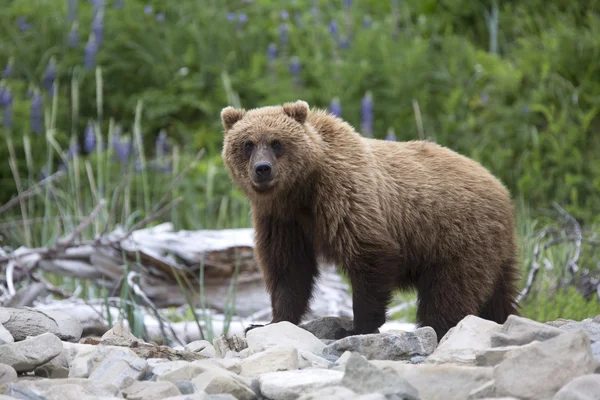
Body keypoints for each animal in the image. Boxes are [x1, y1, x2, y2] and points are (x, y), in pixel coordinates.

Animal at [220, 98, 520, 340]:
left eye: (276, 142)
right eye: (247, 144)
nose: (262, 169)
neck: (300, 190)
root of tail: (502, 190)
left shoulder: (343, 194)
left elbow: (368, 254)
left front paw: (356, 326)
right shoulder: (281, 219)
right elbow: (288, 267)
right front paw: (270, 322)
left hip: (456, 237)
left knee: (450, 292)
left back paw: (439, 326)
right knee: (498, 295)